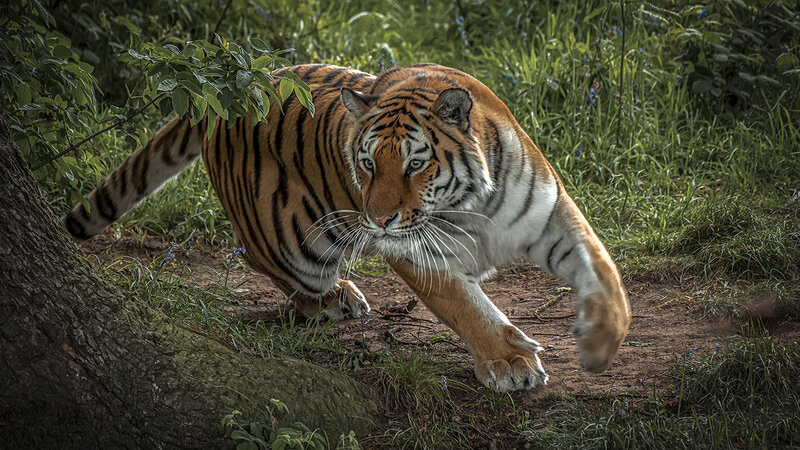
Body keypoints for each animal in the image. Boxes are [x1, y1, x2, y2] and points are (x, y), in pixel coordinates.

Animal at [62, 63, 631, 392]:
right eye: (367, 164)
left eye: (414, 164)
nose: (376, 220)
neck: (473, 203)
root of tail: (227, 92)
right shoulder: (417, 251)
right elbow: (465, 307)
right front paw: (510, 362)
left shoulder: (552, 212)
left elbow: (601, 268)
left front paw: (602, 338)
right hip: (291, 244)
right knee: (271, 265)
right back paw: (335, 297)